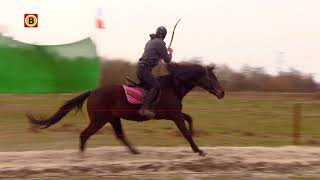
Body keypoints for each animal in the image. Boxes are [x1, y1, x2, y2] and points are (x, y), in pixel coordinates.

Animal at [28, 62, 225, 155]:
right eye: (212, 77)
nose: (222, 92)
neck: (173, 86)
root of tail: (93, 92)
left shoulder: (173, 114)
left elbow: (189, 118)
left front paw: (195, 140)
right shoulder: (174, 115)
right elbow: (185, 131)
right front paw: (198, 150)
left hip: (113, 118)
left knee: (119, 135)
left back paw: (135, 151)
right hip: (99, 120)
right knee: (84, 135)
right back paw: (82, 158)